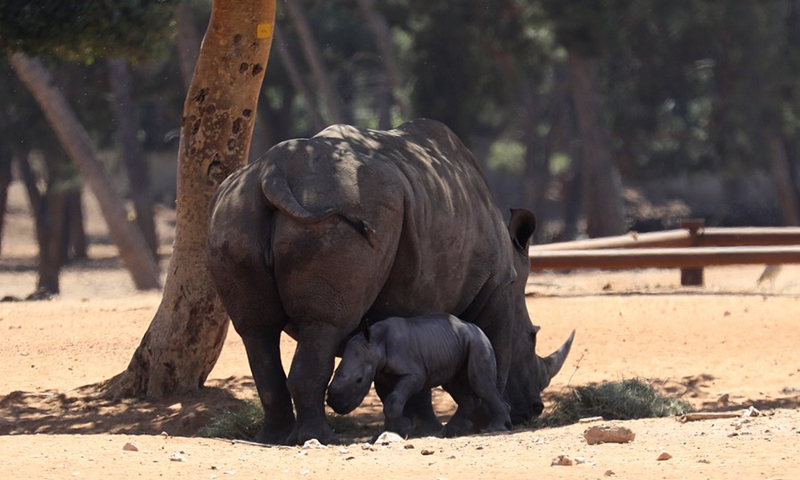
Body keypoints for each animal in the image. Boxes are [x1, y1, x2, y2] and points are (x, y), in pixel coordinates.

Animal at [327, 314, 514, 438]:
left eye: (359, 380)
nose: (335, 404)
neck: (375, 342)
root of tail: (479, 329)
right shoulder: (382, 374)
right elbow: (389, 400)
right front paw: (391, 430)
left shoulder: (415, 373)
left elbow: (393, 399)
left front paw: (400, 430)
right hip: (458, 343)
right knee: (454, 385)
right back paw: (450, 431)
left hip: (478, 342)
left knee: (480, 383)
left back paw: (493, 429)